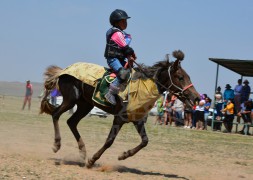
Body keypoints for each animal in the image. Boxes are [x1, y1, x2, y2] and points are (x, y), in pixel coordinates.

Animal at [39, 50, 200, 168]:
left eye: (188, 77)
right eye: (180, 77)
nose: (196, 98)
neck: (144, 87)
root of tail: (63, 71)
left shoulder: (137, 119)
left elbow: (145, 141)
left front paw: (124, 155)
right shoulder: (119, 118)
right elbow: (109, 141)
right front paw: (92, 160)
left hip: (85, 105)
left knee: (71, 122)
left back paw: (83, 152)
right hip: (71, 99)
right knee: (56, 114)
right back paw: (57, 145)